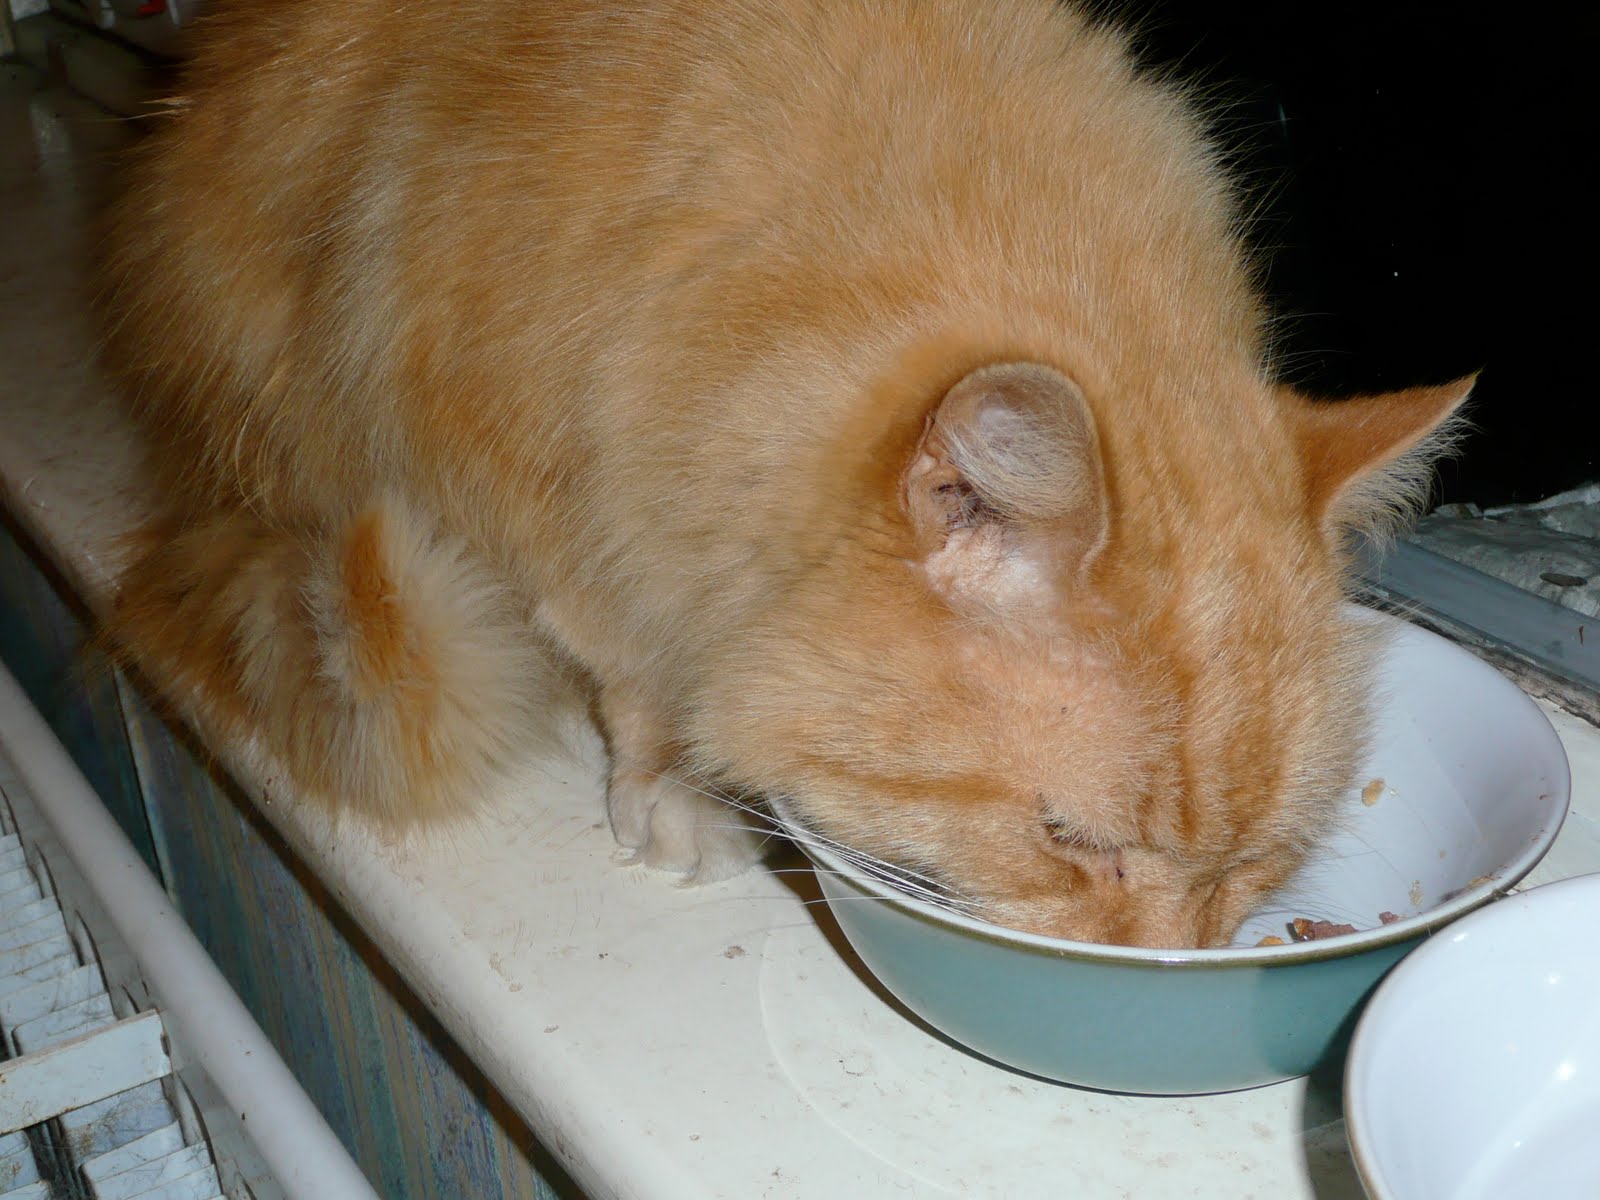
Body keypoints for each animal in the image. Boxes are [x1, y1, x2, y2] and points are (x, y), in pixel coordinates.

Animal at [99, 0, 1468, 948]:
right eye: (1069, 842)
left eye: (1254, 864)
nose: (1163, 972)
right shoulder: (538, 470)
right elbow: (628, 660)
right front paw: (675, 784)